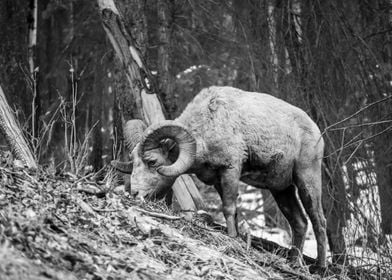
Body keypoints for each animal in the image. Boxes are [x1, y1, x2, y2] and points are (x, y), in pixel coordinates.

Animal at [112, 86, 328, 266]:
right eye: (133, 161)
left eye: (152, 162)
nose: (134, 193)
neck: (209, 123)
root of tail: (315, 130)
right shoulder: (218, 181)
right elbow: (231, 210)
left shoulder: (230, 170)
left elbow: (229, 208)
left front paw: (232, 238)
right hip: (281, 190)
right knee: (300, 223)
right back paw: (294, 264)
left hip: (307, 180)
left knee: (318, 220)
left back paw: (320, 267)